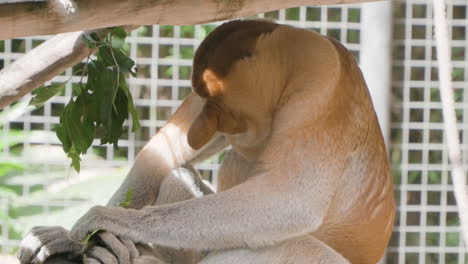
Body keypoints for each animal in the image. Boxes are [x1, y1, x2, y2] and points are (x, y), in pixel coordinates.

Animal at [18, 19, 394, 262]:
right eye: (204, 100)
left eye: (220, 109)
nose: (196, 133)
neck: (293, 60)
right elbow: (163, 153)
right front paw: (66, 238)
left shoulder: (320, 90)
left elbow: (291, 200)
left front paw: (107, 220)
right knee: (177, 175)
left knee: (282, 245)